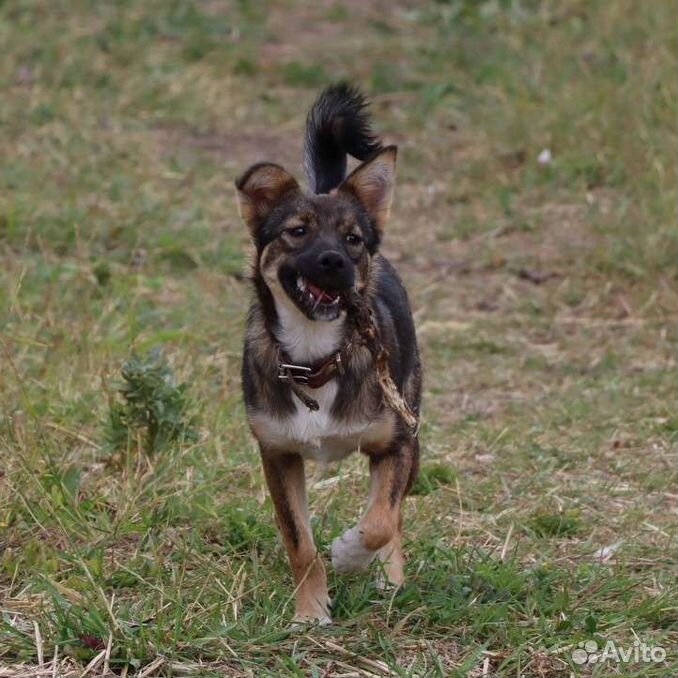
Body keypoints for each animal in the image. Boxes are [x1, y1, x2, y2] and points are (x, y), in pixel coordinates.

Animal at [236, 85, 422, 628]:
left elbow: (381, 519)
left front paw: (350, 554)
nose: (335, 261)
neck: (316, 356)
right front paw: (310, 613)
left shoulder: (397, 443)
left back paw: (388, 578)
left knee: (395, 513)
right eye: (297, 231)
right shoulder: (277, 454)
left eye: (353, 239)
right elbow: (300, 542)